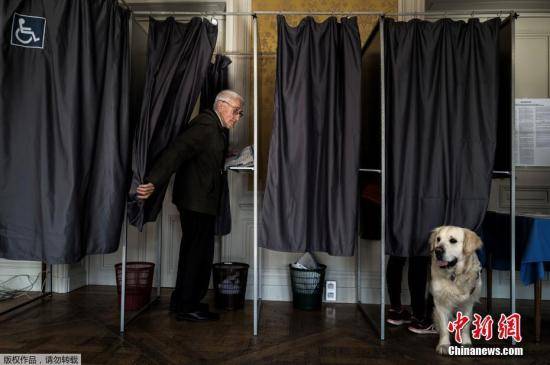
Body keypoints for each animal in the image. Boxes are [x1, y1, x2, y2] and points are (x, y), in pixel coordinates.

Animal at [432, 226, 484, 354]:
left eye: (453, 241)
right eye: (438, 239)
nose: (437, 251)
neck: (454, 275)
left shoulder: (468, 302)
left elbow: (466, 325)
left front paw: (466, 343)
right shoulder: (440, 302)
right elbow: (444, 326)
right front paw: (444, 345)